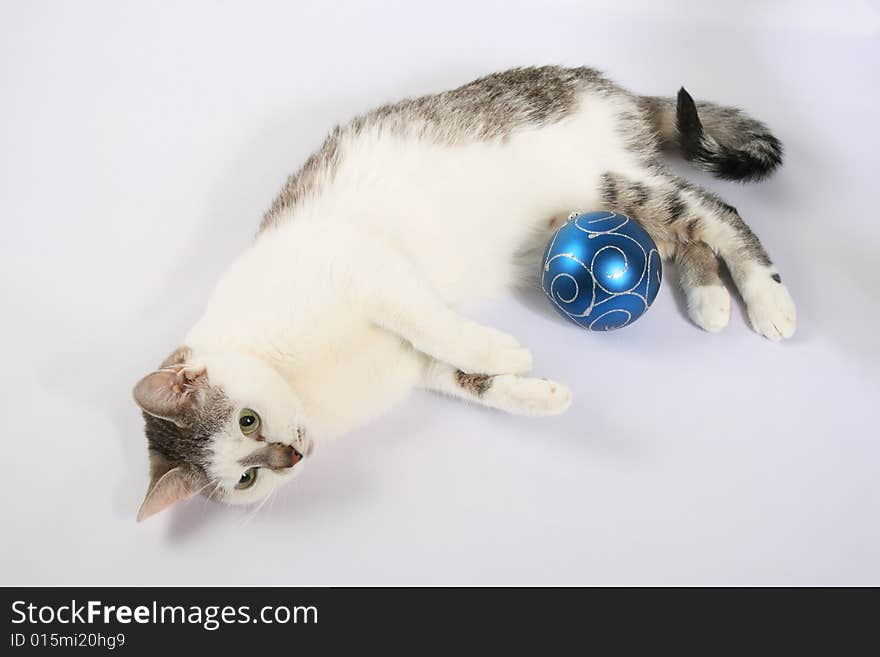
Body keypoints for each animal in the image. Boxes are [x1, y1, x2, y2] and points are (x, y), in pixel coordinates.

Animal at [132, 65, 796, 516]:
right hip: (615, 208)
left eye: (247, 421)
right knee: (684, 237)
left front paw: (501, 349)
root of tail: (603, 83)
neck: (302, 382)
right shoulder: (414, 367)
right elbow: (474, 383)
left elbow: (434, 323)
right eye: (246, 478)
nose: (289, 456)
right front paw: (540, 393)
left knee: (717, 212)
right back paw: (710, 299)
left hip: (607, 182)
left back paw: (768, 299)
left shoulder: (365, 267)